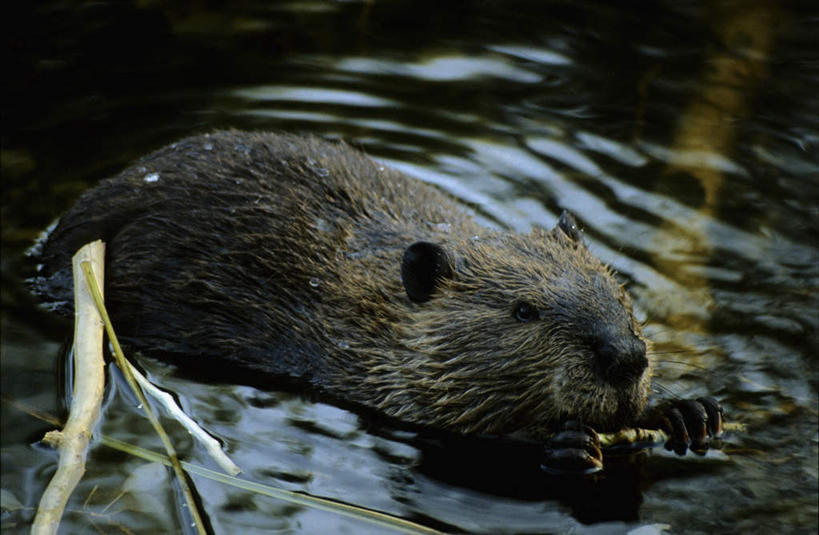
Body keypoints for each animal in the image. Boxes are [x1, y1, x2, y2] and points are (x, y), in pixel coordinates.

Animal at [30, 131, 724, 474]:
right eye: (523, 311)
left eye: (618, 291)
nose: (624, 357)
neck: (382, 307)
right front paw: (567, 447)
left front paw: (687, 412)